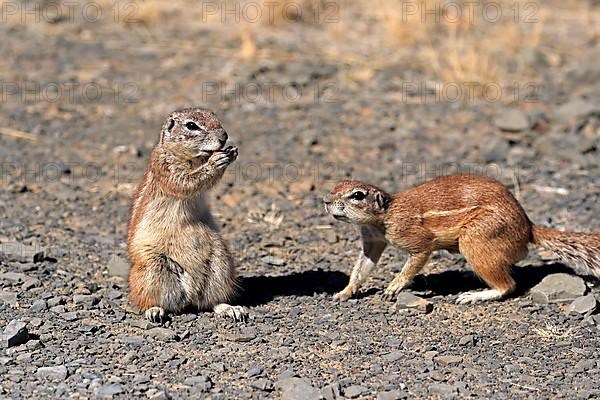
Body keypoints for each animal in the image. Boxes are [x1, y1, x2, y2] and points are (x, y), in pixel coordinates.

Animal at [127, 108, 247, 324]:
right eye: (192, 125)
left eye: (215, 116)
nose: (224, 137)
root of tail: (191, 295)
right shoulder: (165, 167)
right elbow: (187, 182)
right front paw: (216, 162)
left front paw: (231, 152)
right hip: (151, 270)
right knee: (149, 301)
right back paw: (154, 311)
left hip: (221, 263)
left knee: (210, 301)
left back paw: (230, 309)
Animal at [324, 174, 600, 304]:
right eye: (335, 187)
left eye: (357, 195)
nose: (326, 200)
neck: (384, 216)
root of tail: (528, 226)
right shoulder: (372, 243)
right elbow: (361, 268)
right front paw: (344, 291)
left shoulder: (415, 239)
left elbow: (415, 260)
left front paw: (394, 286)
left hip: (475, 240)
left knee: (507, 285)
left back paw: (473, 295)